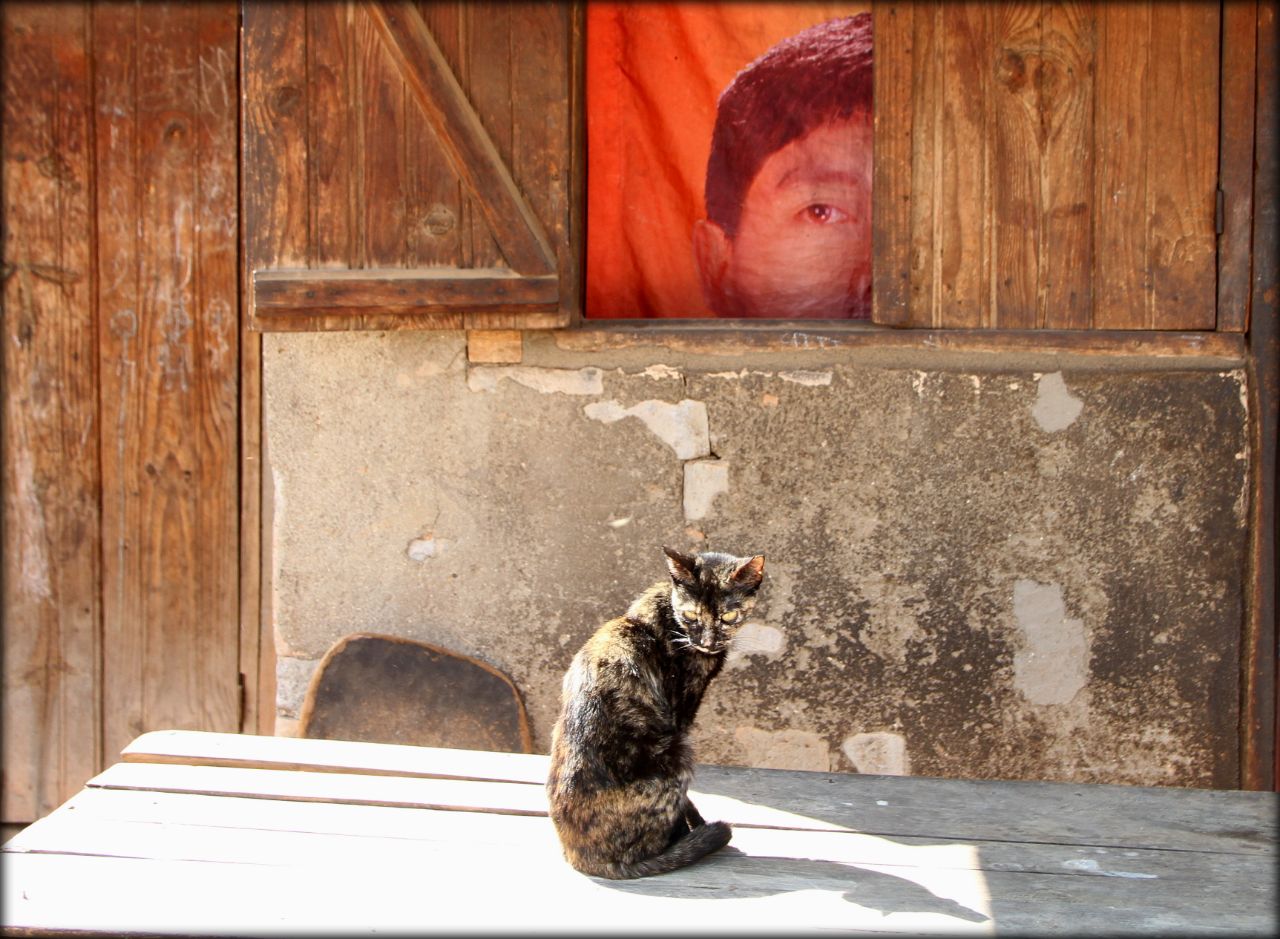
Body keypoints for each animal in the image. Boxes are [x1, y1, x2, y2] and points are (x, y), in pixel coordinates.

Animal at [545, 547, 762, 880]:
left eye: (727, 616)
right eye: (691, 616)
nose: (708, 642)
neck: (670, 613)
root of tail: (582, 859)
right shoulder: (680, 716)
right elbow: (686, 801)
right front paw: (696, 826)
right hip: (677, 752)